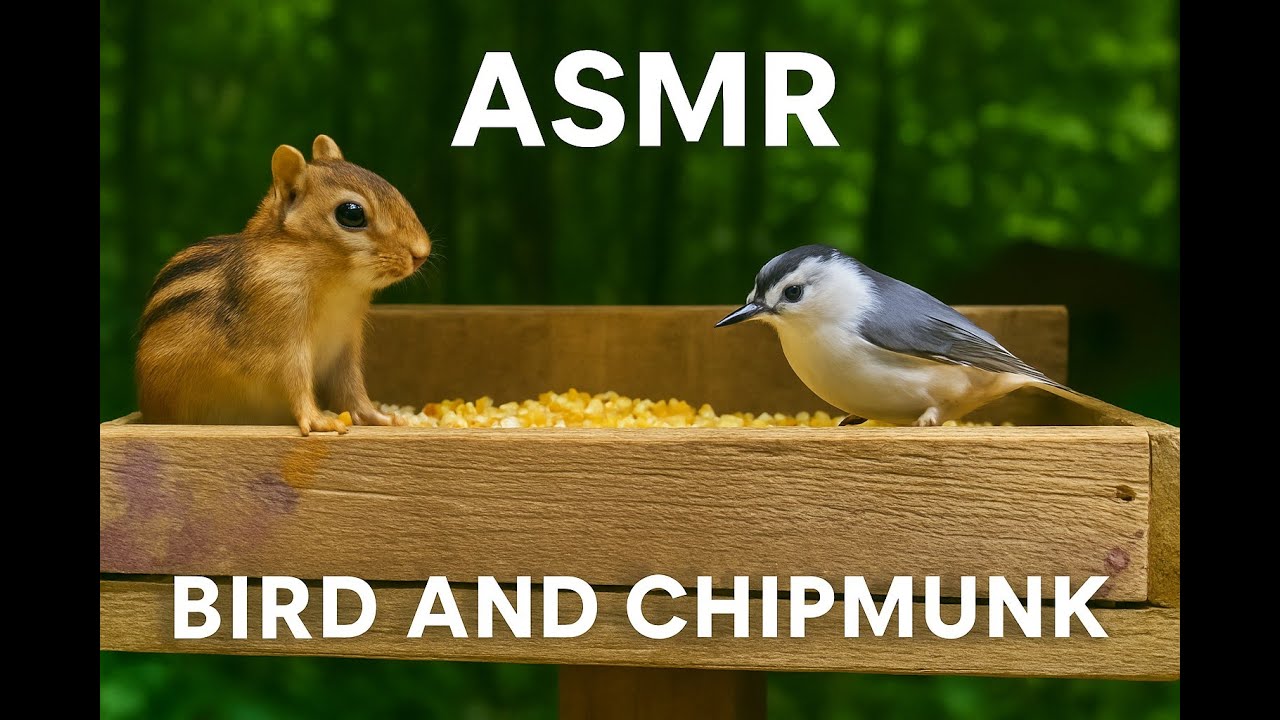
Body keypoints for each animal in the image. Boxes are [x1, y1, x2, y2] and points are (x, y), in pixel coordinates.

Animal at [135, 135, 431, 435]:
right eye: (351, 214)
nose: (422, 253)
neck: (337, 286)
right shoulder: (281, 341)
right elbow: (295, 381)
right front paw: (318, 420)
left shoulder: (345, 348)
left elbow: (353, 388)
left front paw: (380, 417)